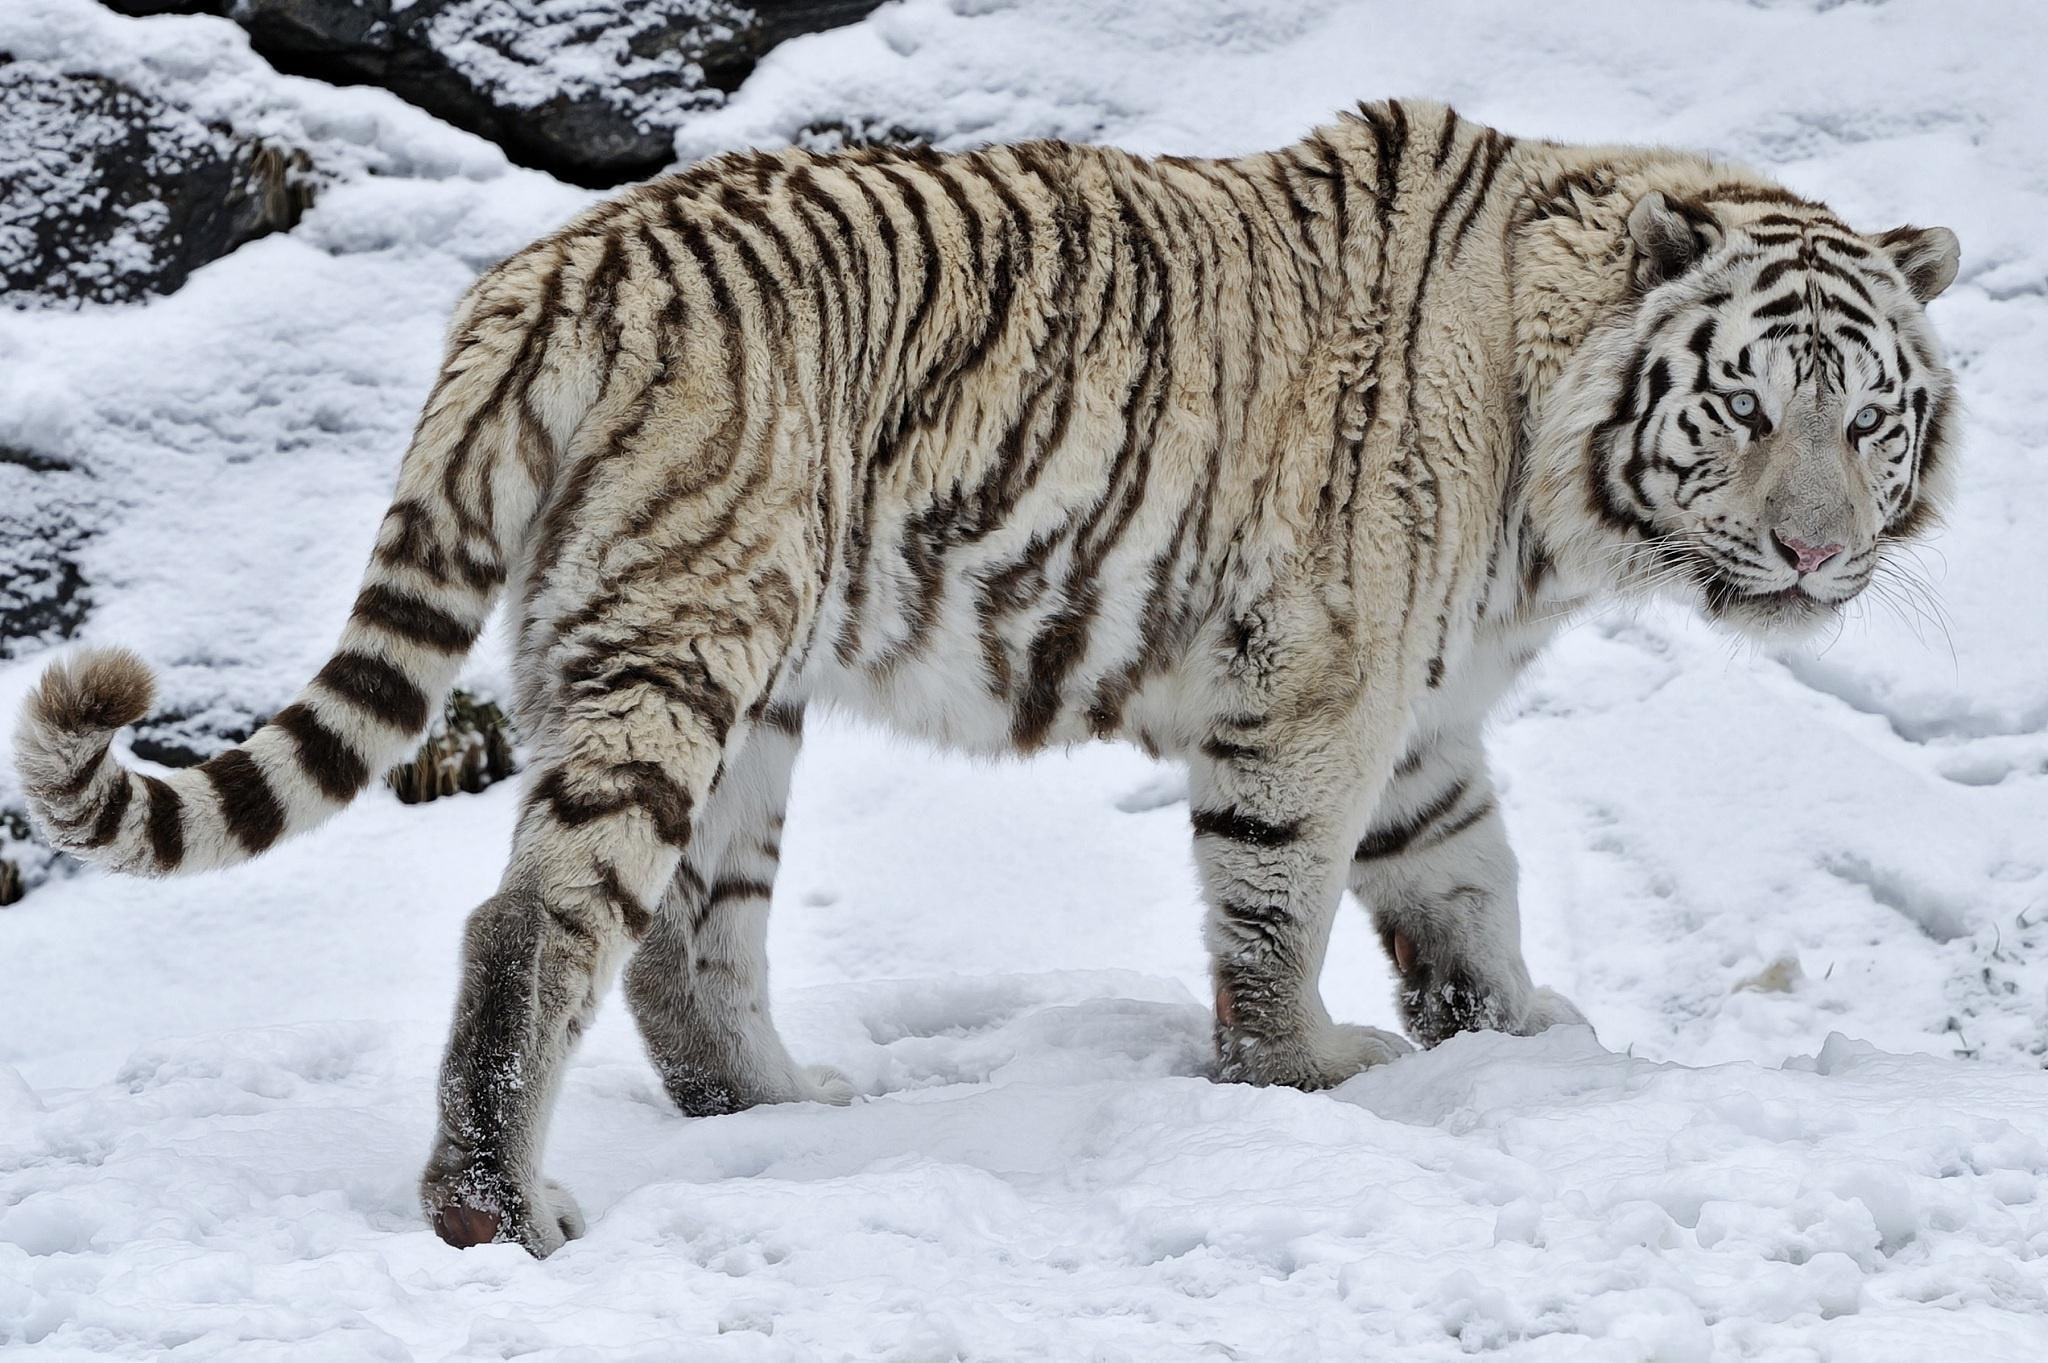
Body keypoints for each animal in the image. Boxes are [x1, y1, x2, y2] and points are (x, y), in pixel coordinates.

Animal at [13, 99, 1960, 1257]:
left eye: (1865, 416)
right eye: (1743, 407)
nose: (1812, 552)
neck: (1558, 476)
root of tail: (550, 270)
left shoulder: (1423, 715)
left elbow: (1465, 887)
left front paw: (1521, 1042)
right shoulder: (1318, 685)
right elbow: (1282, 896)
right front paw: (1305, 1072)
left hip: (731, 686)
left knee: (684, 931)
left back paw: (774, 1105)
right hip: (682, 641)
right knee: (536, 920)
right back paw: (502, 1207)